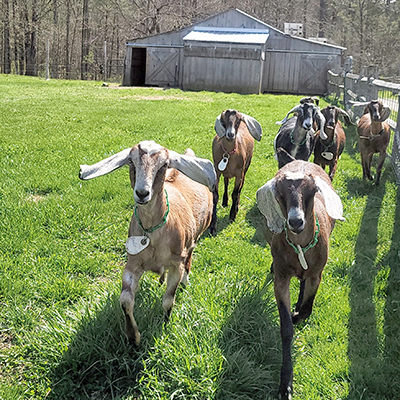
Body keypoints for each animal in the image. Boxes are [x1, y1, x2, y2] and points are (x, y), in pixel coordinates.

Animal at [78, 141, 216, 346]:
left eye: (164, 164)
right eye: (131, 160)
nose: (142, 193)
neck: (153, 234)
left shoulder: (176, 263)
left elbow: (168, 300)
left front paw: (165, 323)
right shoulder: (132, 263)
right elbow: (125, 300)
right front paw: (133, 337)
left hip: (194, 238)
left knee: (190, 255)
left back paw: (185, 280)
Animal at [209, 108, 262, 236]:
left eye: (237, 121)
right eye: (223, 120)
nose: (230, 134)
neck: (229, 154)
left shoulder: (239, 174)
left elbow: (235, 193)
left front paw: (232, 215)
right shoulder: (217, 171)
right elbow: (215, 195)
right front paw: (212, 226)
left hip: (246, 167)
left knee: (240, 188)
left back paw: (236, 205)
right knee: (226, 181)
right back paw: (225, 201)